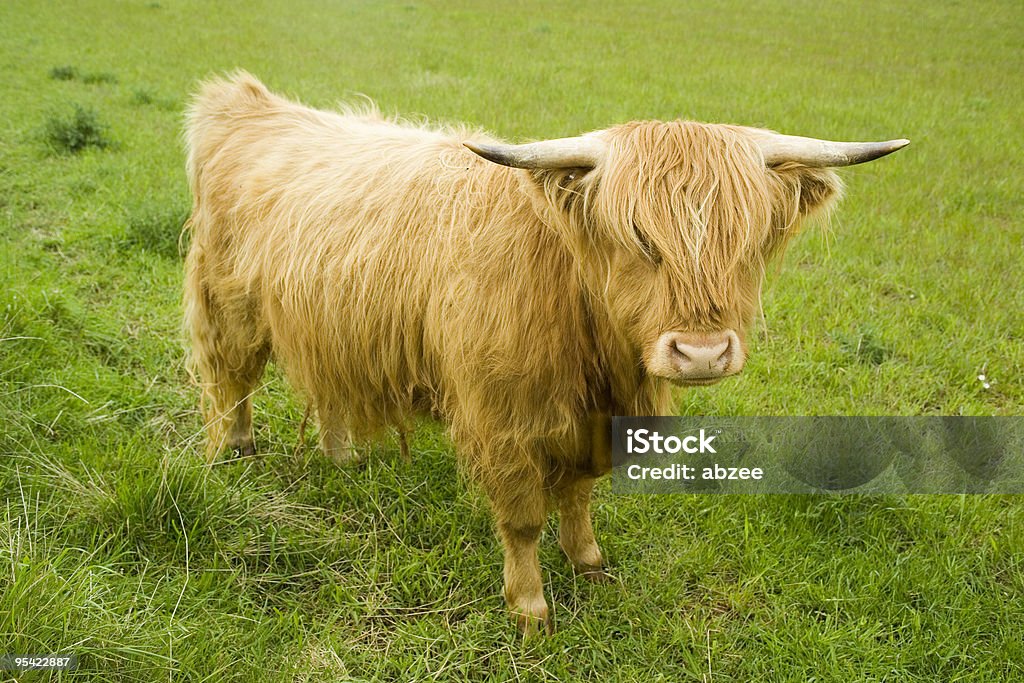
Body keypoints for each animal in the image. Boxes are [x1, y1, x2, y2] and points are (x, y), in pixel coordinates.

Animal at [182, 73, 905, 634]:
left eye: (748, 238)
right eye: (637, 235)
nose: (702, 353)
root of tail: (249, 102)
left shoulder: (589, 423)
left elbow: (579, 495)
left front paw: (589, 562)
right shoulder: (501, 421)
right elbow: (524, 518)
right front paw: (530, 608)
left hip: (324, 325)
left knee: (326, 387)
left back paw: (343, 458)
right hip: (228, 305)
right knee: (231, 382)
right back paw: (232, 455)